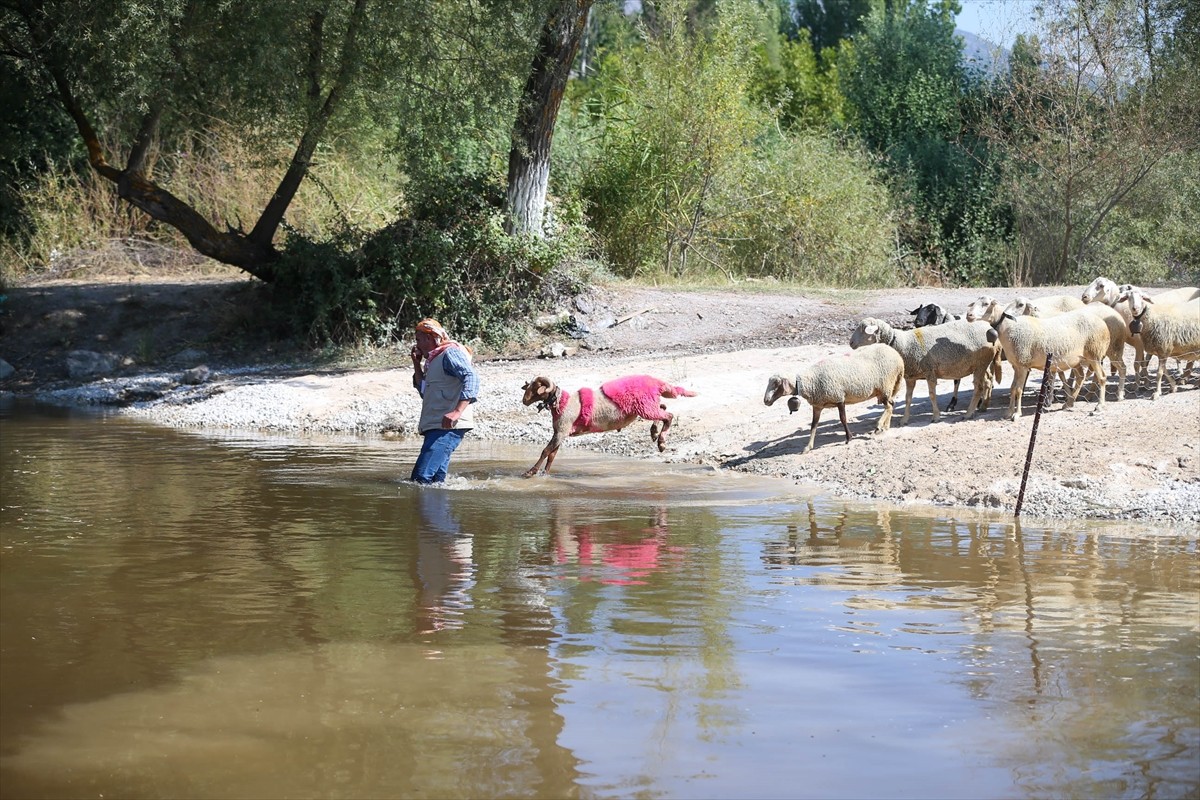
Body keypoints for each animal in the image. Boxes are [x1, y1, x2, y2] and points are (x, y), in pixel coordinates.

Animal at [763, 345, 902, 453]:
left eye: (776, 383)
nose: (766, 401)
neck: (811, 381)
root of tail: (898, 356)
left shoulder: (839, 398)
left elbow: (843, 419)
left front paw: (848, 438)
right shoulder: (818, 406)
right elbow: (813, 425)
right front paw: (808, 447)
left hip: (885, 386)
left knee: (889, 406)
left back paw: (878, 426)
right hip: (885, 389)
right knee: (891, 405)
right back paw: (885, 427)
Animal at [849, 316, 998, 424]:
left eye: (863, 329)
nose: (850, 343)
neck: (904, 344)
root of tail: (989, 327)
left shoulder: (929, 371)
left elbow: (932, 395)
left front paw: (936, 416)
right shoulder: (910, 376)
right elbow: (908, 398)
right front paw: (904, 419)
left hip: (980, 363)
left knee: (978, 387)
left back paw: (969, 413)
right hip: (981, 365)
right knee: (988, 382)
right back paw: (983, 406)